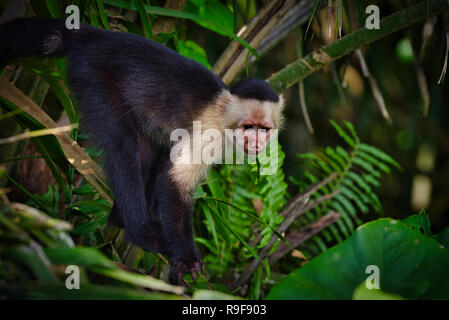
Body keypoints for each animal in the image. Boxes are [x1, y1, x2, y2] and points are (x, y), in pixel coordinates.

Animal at [0, 16, 284, 284]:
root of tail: (100, 35)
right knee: (122, 142)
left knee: (146, 147)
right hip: (93, 75)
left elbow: (165, 164)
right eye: (248, 127)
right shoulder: (209, 132)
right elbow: (173, 181)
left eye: (264, 129)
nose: (257, 141)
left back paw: (119, 218)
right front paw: (186, 259)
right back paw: (139, 232)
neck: (224, 120)